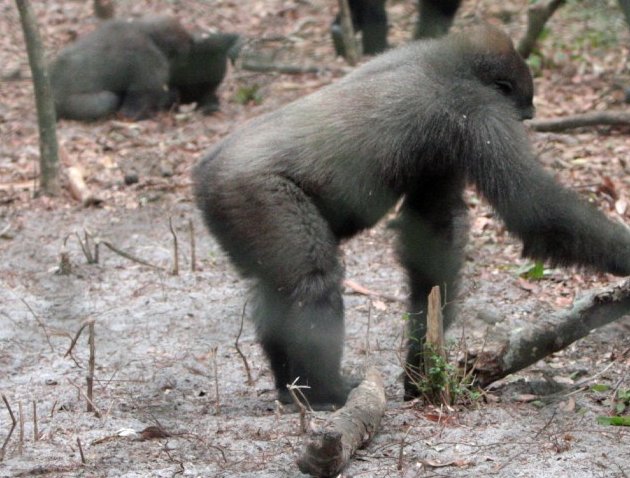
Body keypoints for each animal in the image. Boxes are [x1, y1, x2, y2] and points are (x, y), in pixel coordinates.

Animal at [196, 24, 630, 408]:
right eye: (520, 114)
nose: (530, 121)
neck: (452, 61)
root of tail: (202, 173)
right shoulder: (478, 112)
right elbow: (538, 211)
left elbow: (433, 233)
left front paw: (420, 364)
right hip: (251, 192)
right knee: (313, 282)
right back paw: (325, 391)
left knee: (272, 288)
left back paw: (291, 387)